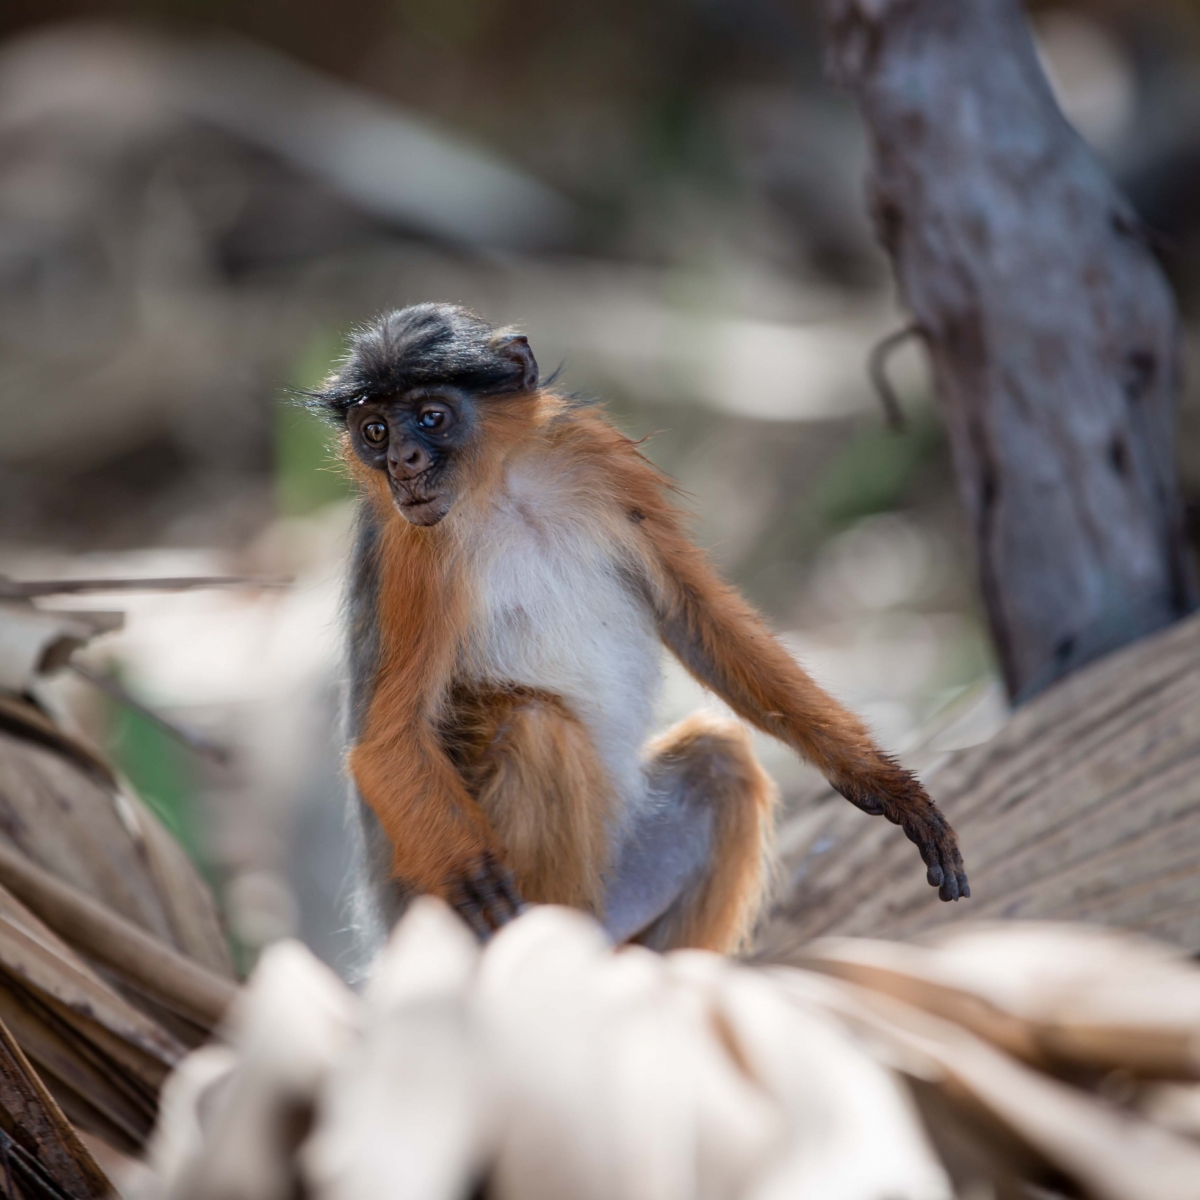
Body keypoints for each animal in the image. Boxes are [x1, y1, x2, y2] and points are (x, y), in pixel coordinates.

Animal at [313, 303, 968, 956]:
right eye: (375, 431)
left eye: (431, 417)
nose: (403, 463)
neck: (501, 491)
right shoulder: (411, 548)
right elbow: (387, 742)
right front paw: (469, 871)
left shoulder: (592, 454)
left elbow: (696, 619)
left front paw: (881, 780)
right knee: (532, 725)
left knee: (717, 760)